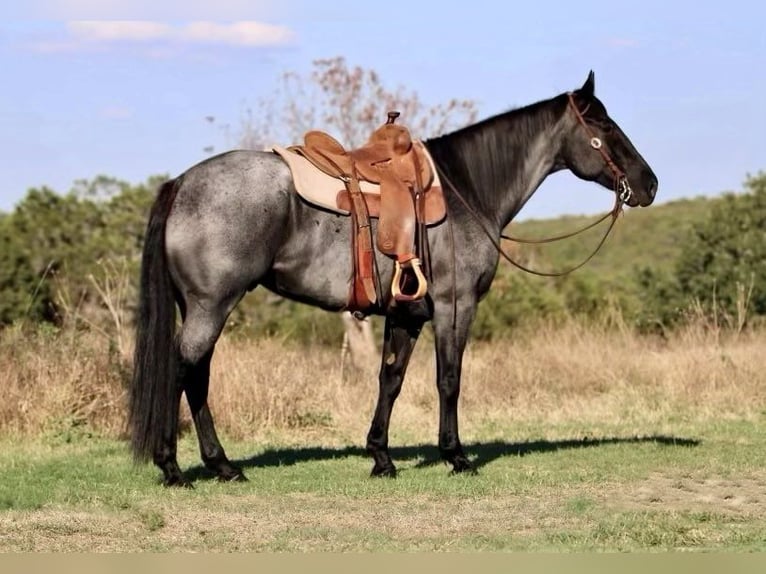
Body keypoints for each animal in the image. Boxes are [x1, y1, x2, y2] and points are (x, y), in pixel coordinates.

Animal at [132, 71, 660, 486]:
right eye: (604, 126)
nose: (649, 184)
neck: (466, 190)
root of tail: (182, 183)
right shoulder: (454, 306)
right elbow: (449, 378)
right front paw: (455, 456)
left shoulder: (406, 314)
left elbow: (390, 379)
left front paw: (381, 457)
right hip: (212, 304)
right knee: (185, 369)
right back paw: (175, 468)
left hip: (200, 306)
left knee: (197, 374)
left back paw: (220, 466)